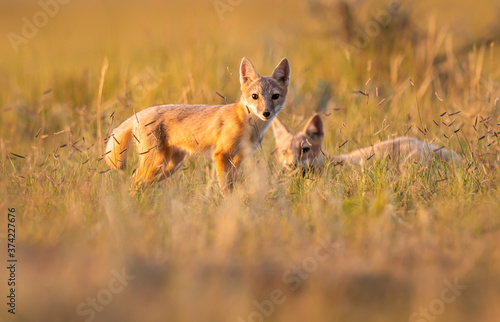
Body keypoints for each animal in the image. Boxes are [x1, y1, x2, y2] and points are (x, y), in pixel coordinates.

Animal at [107, 57, 292, 191]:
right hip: (156, 162)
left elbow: (232, 185)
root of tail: (138, 113)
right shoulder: (222, 155)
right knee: (134, 181)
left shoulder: (238, 158)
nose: (266, 113)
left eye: (275, 96)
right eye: (255, 96)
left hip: (171, 165)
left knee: (144, 183)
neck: (249, 127)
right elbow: (226, 188)